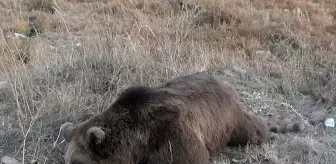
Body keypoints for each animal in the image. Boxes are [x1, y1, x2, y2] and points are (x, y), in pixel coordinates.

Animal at [60, 73, 270, 164]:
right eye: (68, 160)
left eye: (78, 162)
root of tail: (225, 82)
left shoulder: (174, 138)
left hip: (229, 119)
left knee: (252, 131)